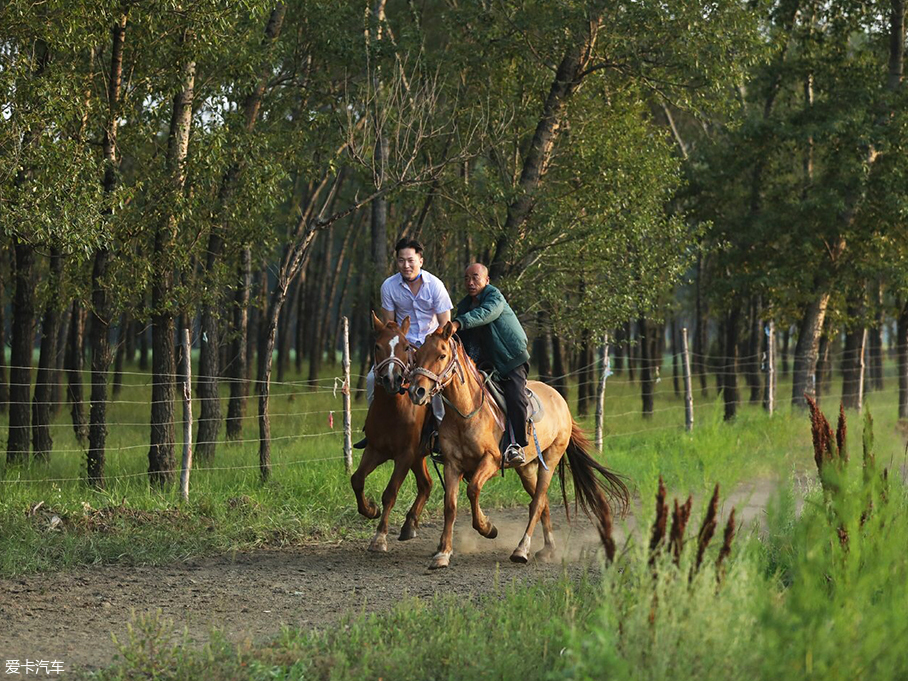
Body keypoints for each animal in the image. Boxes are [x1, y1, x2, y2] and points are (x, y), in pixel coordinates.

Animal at [348, 310, 432, 548]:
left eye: (405, 346)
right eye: (377, 346)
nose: (392, 379)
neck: (392, 409)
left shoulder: (405, 455)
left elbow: (390, 493)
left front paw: (380, 537)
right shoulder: (375, 450)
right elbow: (357, 479)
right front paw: (371, 510)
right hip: (418, 457)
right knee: (426, 485)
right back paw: (409, 525)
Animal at [408, 322, 628, 568]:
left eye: (441, 354)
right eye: (417, 355)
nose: (416, 391)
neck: (465, 412)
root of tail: (560, 400)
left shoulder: (491, 461)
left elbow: (473, 489)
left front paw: (488, 528)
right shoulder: (452, 464)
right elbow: (451, 506)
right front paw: (443, 553)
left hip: (550, 460)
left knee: (538, 502)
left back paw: (522, 549)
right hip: (526, 468)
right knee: (542, 504)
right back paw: (547, 549)